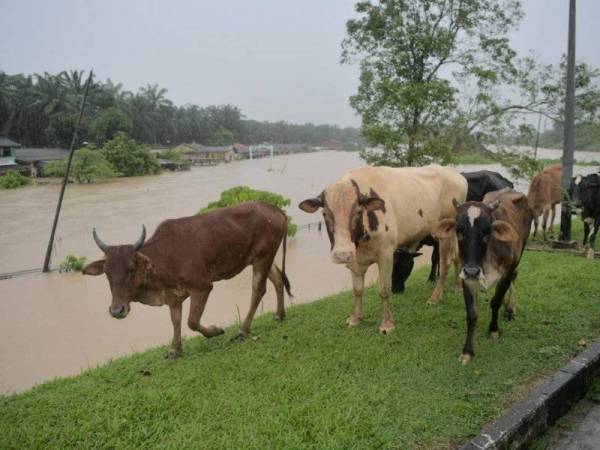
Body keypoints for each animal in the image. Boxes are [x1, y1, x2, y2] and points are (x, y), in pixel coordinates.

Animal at [82, 201, 292, 358]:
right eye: (107, 273)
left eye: (131, 269)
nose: (116, 310)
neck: (162, 258)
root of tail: (273, 208)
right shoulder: (173, 296)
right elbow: (176, 321)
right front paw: (175, 350)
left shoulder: (202, 287)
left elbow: (192, 321)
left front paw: (216, 330)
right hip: (262, 258)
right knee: (277, 279)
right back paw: (279, 315)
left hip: (263, 256)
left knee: (258, 289)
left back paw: (242, 331)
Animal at [300, 165, 468, 334]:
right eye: (324, 213)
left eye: (358, 211)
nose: (342, 254)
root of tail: (455, 174)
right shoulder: (355, 259)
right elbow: (357, 289)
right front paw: (355, 318)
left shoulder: (386, 254)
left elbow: (384, 290)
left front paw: (387, 324)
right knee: (457, 256)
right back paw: (458, 286)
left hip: (445, 232)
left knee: (445, 263)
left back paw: (435, 297)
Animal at [434, 188, 532, 364]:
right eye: (459, 231)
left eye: (487, 231)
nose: (473, 271)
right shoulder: (467, 277)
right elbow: (472, 315)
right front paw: (467, 351)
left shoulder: (506, 273)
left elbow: (496, 302)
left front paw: (494, 330)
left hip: (521, 252)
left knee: (515, 277)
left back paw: (510, 308)